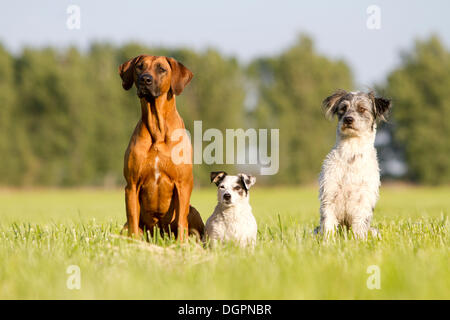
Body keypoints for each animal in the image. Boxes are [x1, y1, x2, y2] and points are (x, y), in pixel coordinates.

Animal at [118, 55, 205, 240]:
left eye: (161, 69)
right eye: (139, 67)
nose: (145, 79)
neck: (157, 130)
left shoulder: (183, 184)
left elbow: (181, 220)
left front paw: (181, 244)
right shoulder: (131, 185)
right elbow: (133, 218)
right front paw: (134, 243)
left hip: (193, 211)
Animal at [316, 89, 390, 239]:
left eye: (362, 109)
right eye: (343, 109)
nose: (348, 119)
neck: (351, 156)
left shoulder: (363, 200)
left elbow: (359, 228)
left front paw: (358, 242)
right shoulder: (329, 197)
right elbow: (328, 226)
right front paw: (328, 242)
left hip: (374, 231)